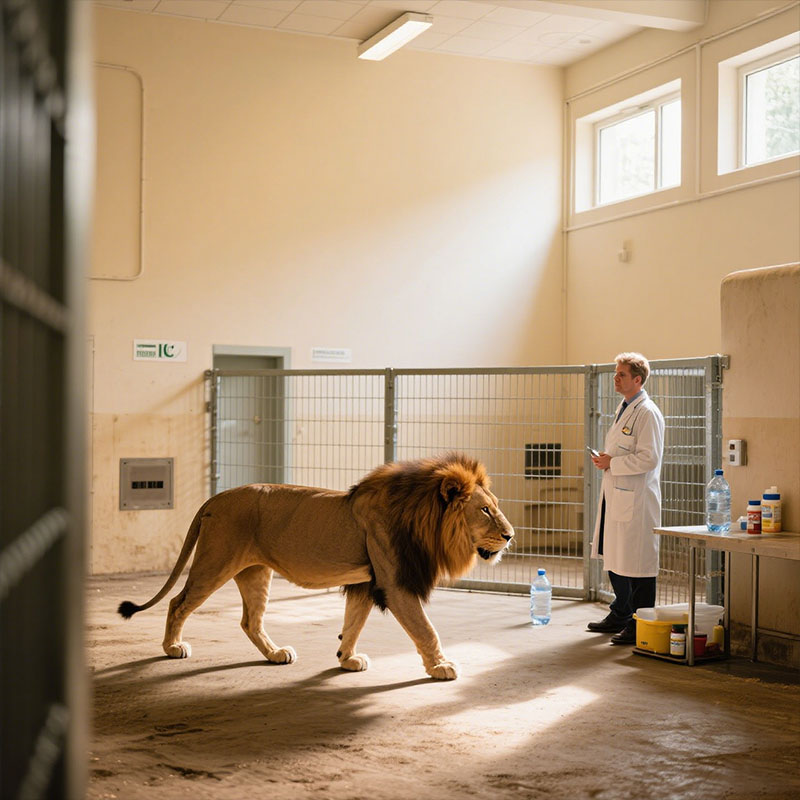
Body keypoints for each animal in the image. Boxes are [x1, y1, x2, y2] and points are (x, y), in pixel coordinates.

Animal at [118, 453, 514, 680]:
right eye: (485, 510)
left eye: (494, 506)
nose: (510, 536)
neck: (420, 517)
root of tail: (214, 498)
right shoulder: (395, 583)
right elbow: (426, 629)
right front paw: (441, 667)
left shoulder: (366, 582)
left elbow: (352, 623)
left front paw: (346, 659)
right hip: (215, 562)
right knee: (178, 602)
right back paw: (172, 647)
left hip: (255, 572)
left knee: (250, 621)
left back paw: (276, 654)